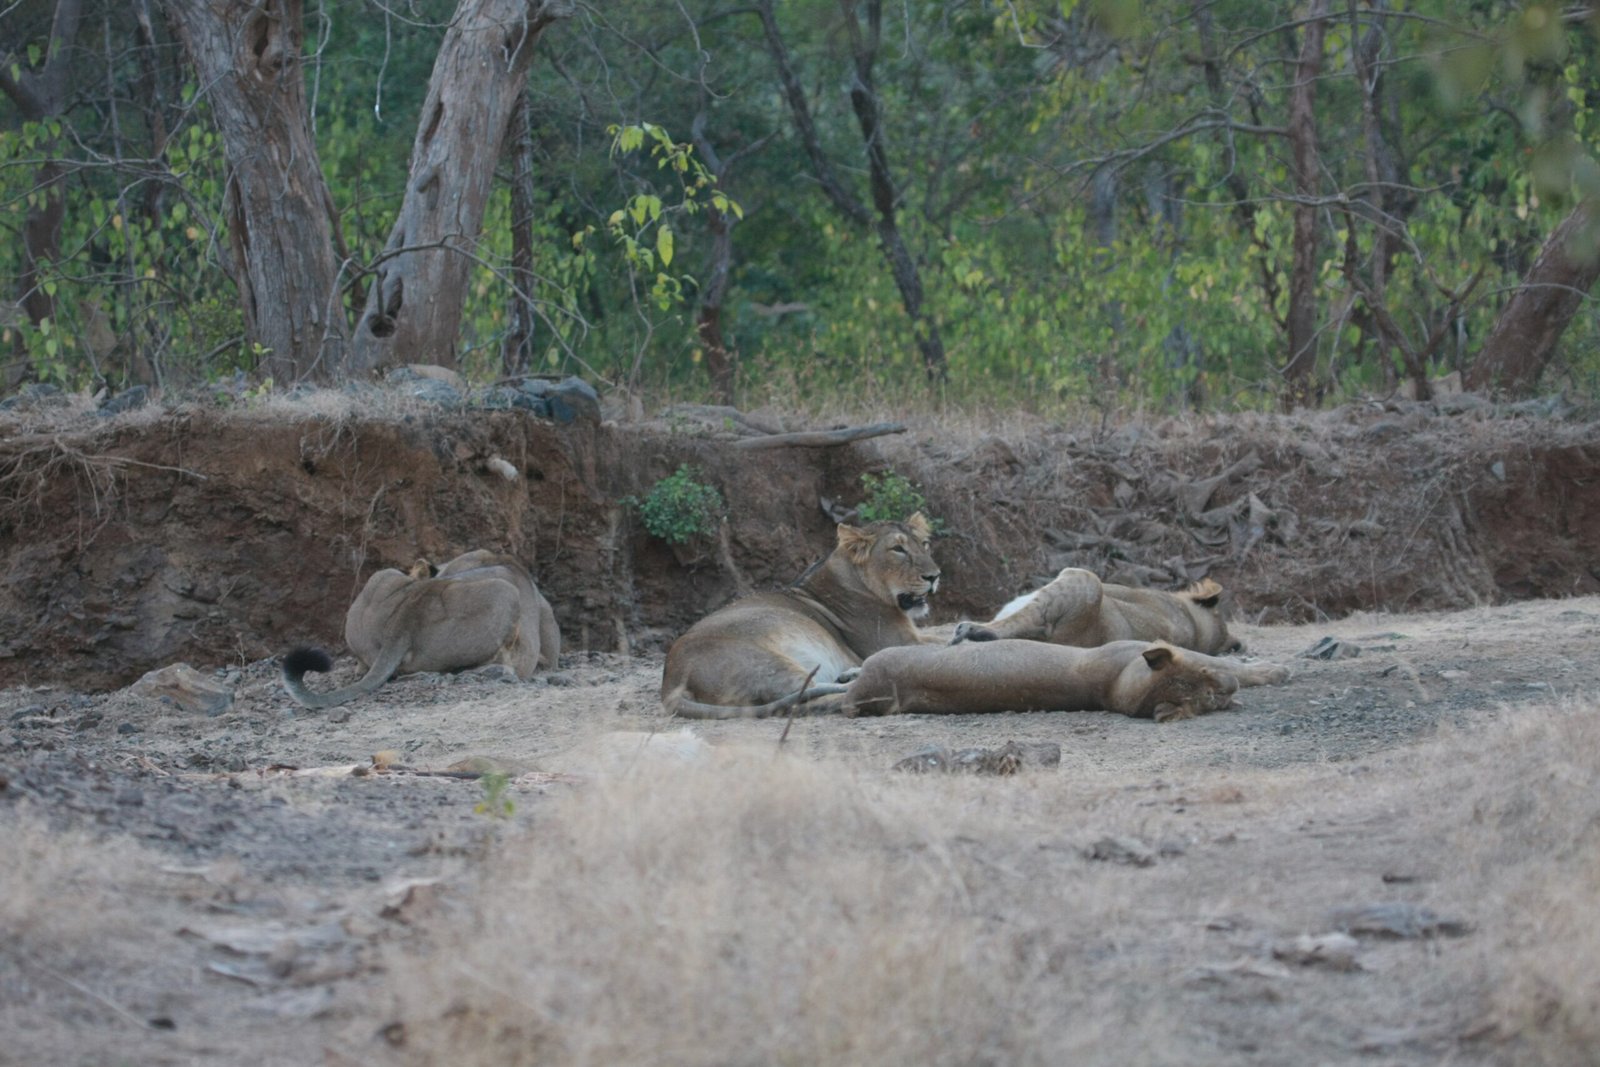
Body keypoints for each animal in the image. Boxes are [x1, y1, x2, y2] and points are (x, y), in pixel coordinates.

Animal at [663, 514, 941, 719]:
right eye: (898, 549)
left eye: (924, 544)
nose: (934, 576)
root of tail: (670, 681)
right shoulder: (898, 641)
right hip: (765, 663)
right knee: (805, 698)